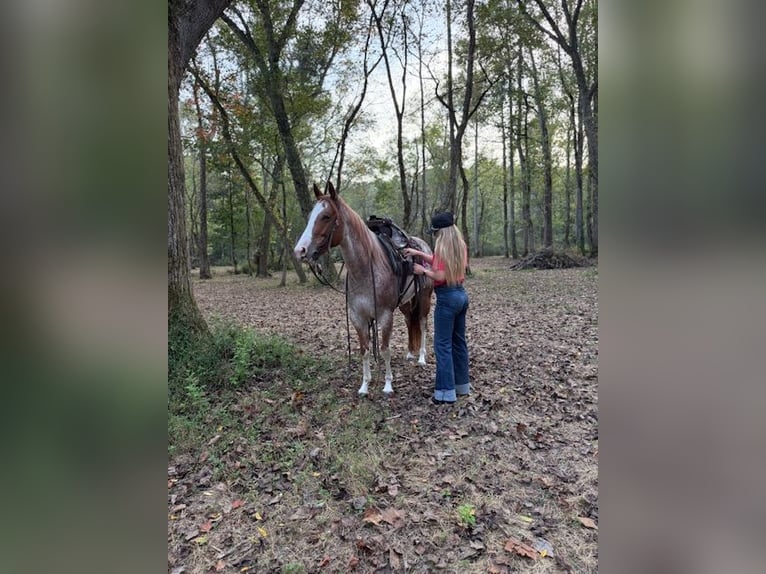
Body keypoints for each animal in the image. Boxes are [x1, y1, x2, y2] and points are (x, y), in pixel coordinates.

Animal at [293, 181, 433, 396]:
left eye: (326, 216)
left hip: (424, 298)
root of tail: (423, 246)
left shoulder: (385, 316)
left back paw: (422, 358)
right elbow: (365, 350)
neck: (367, 269)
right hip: (406, 303)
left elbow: (384, 349)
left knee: (423, 324)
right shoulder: (358, 317)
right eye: (310, 217)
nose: (300, 251)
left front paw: (387, 385)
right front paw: (364, 385)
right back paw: (411, 353)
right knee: (411, 321)